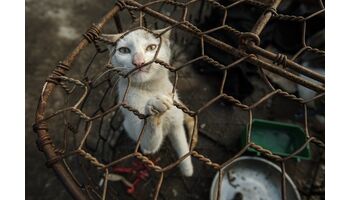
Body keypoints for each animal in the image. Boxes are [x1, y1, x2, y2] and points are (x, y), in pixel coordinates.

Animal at [100, 28, 194, 177]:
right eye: (124, 50)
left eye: (151, 47)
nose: (138, 62)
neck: (149, 88)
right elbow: (149, 142)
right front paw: (154, 108)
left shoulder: (176, 123)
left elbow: (182, 143)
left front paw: (187, 169)